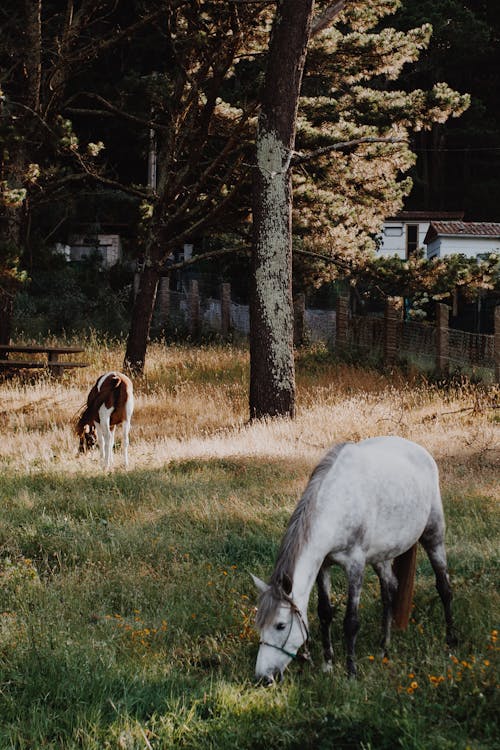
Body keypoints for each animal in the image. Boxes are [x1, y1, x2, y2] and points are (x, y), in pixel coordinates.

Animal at [252, 434, 456, 688]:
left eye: (280, 625)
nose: (263, 678)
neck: (337, 503)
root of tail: (422, 452)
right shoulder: (324, 565)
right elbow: (324, 613)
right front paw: (328, 664)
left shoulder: (355, 567)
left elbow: (351, 622)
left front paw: (351, 672)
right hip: (382, 556)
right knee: (390, 590)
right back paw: (384, 648)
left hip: (433, 537)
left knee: (444, 588)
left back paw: (450, 641)